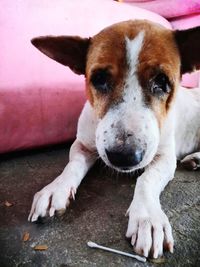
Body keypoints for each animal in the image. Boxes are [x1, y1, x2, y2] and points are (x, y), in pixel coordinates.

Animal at [27, 20, 200, 260]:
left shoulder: (166, 157)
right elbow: (73, 165)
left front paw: (148, 216)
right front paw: (57, 188)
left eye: (162, 81)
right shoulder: (83, 144)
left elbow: (146, 179)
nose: (124, 156)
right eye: (99, 79)